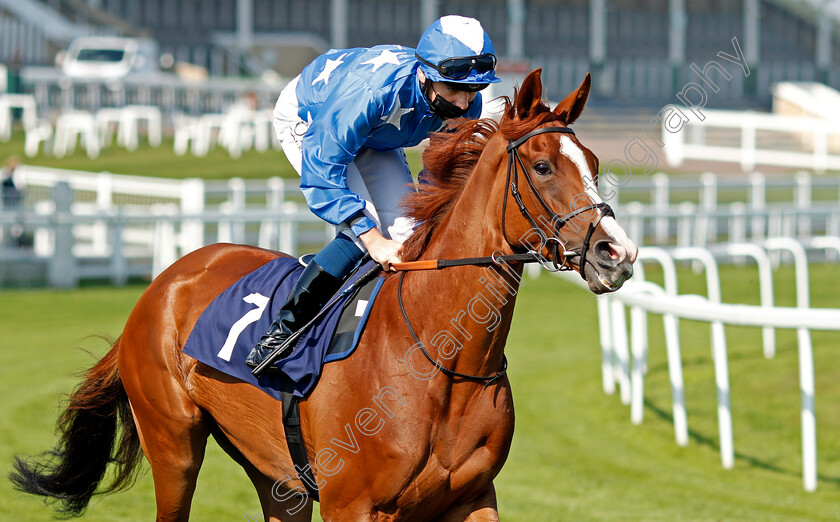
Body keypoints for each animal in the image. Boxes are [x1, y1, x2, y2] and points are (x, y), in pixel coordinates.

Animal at [9, 69, 636, 520]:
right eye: (542, 165)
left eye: (594, 162)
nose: (618, 253)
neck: (441, 357)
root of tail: (164, 282)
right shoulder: (352, 504)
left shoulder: (473, 498)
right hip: (174, 444)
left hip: (273, 472)